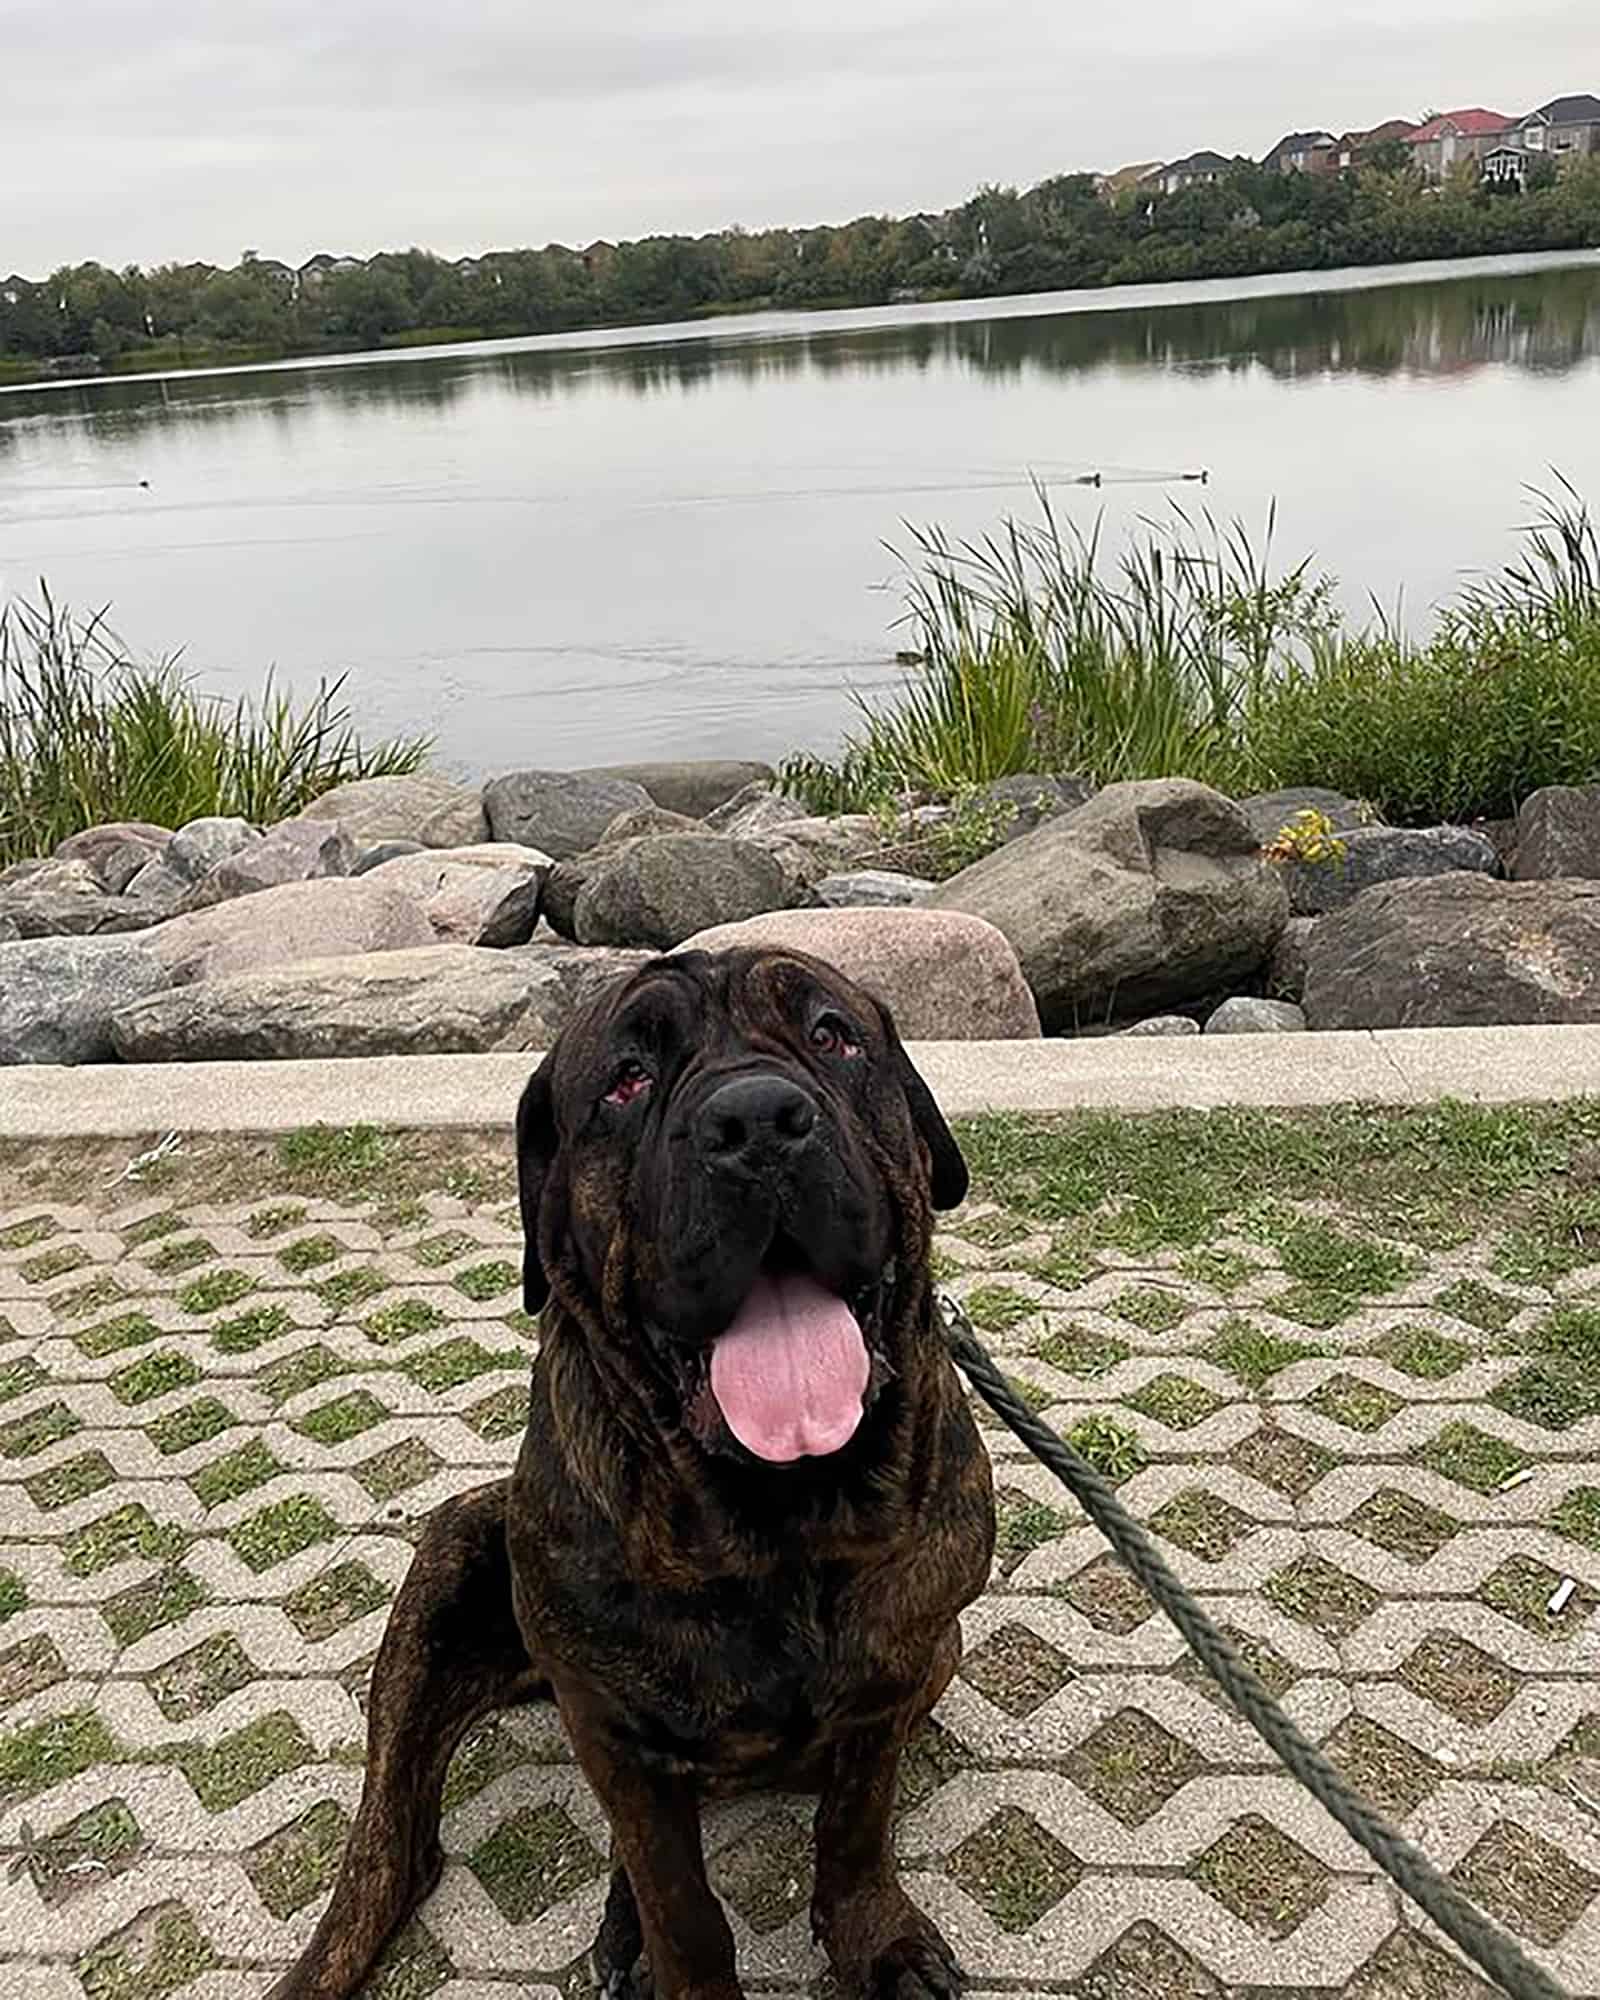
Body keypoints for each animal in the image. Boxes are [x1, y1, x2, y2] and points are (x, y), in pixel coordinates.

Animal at [276, 948, 1000, 2000]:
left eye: (831, 1035)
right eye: (628, 1079)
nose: (757, 1122)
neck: (776, 1514)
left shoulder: (892, 1673)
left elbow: (854, 1832)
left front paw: (878, 1944)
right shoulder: (614, 1733)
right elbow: (680, 1904)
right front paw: (670, 1955)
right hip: (455, 1568)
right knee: (393, 1851)